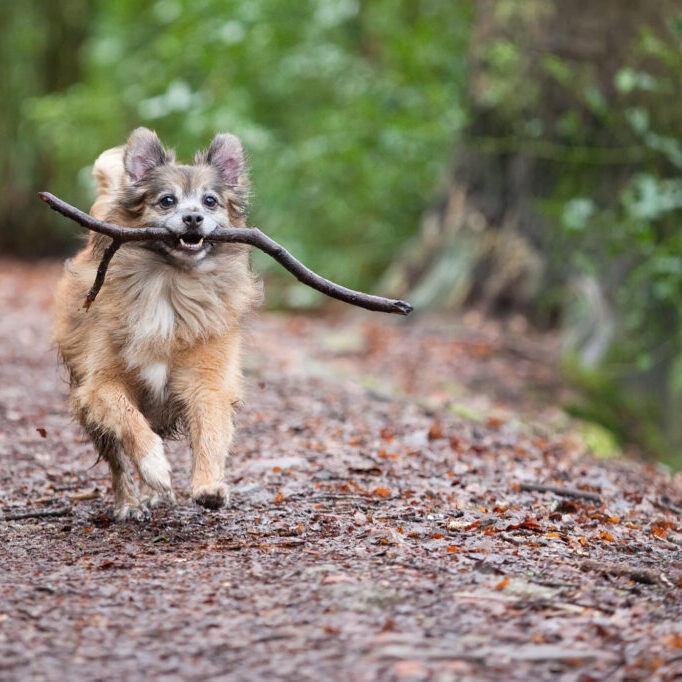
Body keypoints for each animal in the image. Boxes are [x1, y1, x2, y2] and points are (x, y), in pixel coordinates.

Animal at [51, 127, 260, 520]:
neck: (171, 285)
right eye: (166, 201)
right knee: (118, 458)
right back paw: (130, 502)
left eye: (210, 201)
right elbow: (130, 424)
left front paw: (209, 484)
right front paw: (155, 467)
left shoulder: (208, 382)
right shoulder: (101, 385)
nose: (193, 218)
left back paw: (153, 496)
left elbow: (210, 432)